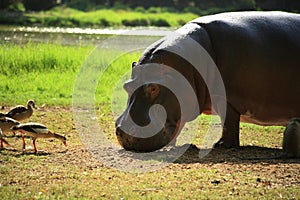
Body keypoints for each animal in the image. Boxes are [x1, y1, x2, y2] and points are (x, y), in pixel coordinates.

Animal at [115, 11, 300, 152]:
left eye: (153, 88)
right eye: (126, 86)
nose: (124, 133)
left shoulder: (228, 98)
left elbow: (228, 121)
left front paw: (221, 145)